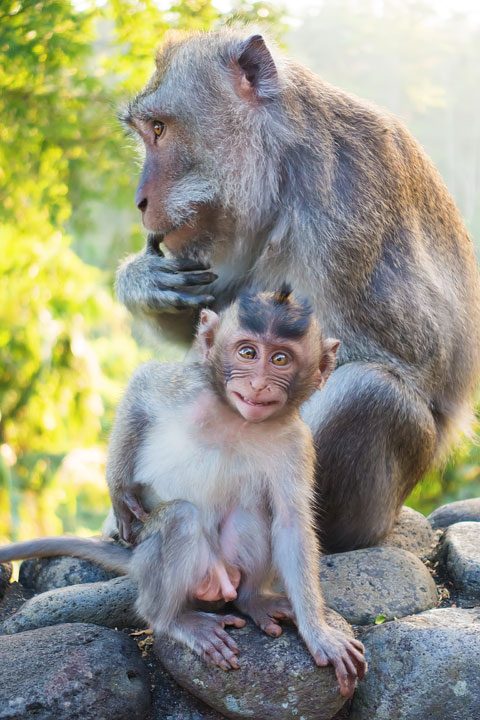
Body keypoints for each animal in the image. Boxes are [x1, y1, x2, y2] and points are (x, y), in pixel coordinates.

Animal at [0, 286, 366, 696]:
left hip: (225, 567)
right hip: (159, 557)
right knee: (179, 518)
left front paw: (318, 632)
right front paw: (120, 492)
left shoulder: (295, 443)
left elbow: (289, 523)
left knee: (254, 516)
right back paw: (172, 619)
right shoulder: (185, 387)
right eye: (248, 353)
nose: (258, 385)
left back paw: (252, 600)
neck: (237, 418)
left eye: (280, 359)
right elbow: (141, 386)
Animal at [116, 29, 480, 552]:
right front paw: (142, 281)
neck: (282, 168)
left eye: (161, 129)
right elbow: (209, 329)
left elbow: (409, 355)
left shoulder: (346, 214)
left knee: (370, 391)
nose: (140, 201)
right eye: (147, 132)